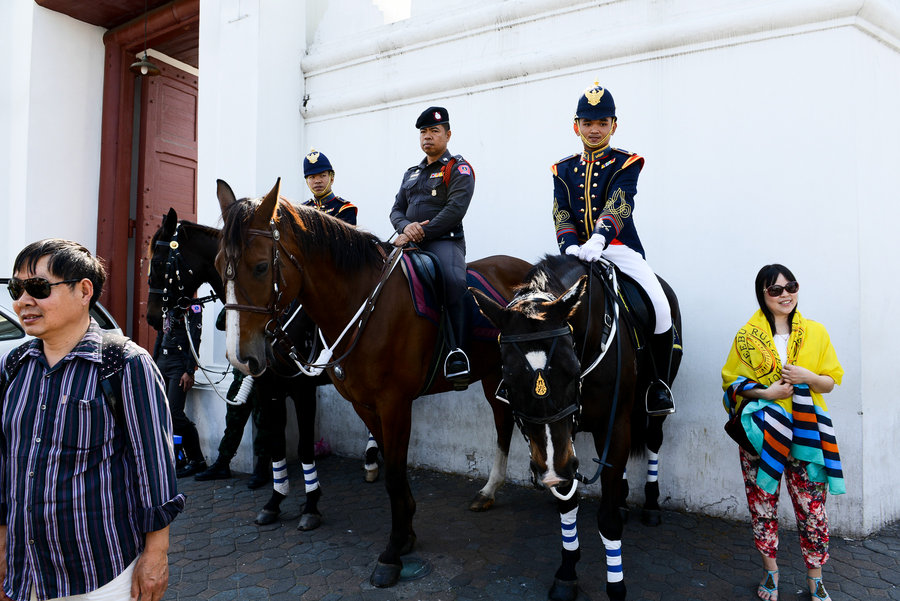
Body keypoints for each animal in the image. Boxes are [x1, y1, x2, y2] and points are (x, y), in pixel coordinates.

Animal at [148, 206, 376, 528]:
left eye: (157, 262)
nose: (152, 316)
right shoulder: (269, 387)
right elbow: (275, 439)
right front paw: (275, 500)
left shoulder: (302, 389)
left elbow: (304, 446)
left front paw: (311, 505)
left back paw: (371, 461)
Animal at [215, 178, 532, 584]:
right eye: (219, 265)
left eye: (258, 267)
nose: (240, 357)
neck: (362, 304)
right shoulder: (363, 403)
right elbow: (387, 466)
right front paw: (407, 531)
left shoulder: (393, 403)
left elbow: (393, 473)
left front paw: (392, 552)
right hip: (492, 373)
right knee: (503, 422)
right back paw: (490, 490)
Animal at [472, 254, 684, 600]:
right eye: (510, 376)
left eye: (571, 369)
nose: (549, 472)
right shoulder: (560, 445)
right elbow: (568, 504)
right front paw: (566, 573)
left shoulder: (612, 426)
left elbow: (607, 520)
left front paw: (616, 585)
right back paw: (624, 499)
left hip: (654, 405)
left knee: (654, 438)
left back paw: (651, 505)